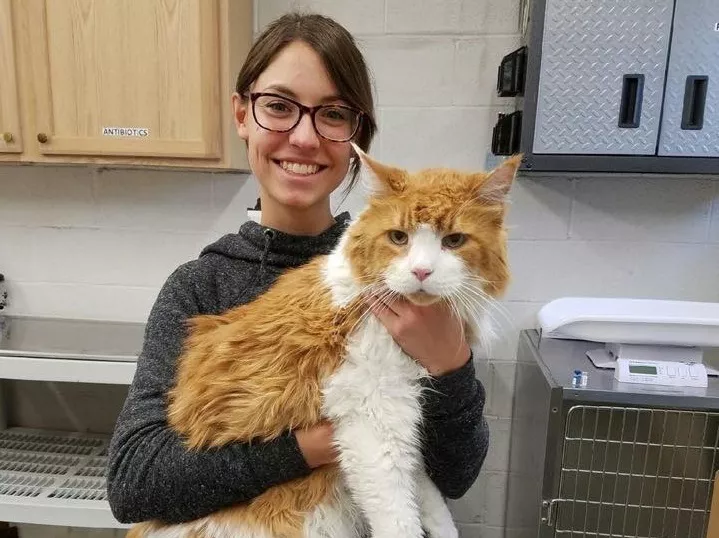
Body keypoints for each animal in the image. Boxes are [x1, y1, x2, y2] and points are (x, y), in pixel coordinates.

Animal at [129, 146, 520, 536]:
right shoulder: (372, 418)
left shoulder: (399, 414)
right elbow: (397, 514)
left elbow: (424, 486)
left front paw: (443, 527)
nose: (421, 271)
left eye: (454, 241)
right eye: (399, 238)